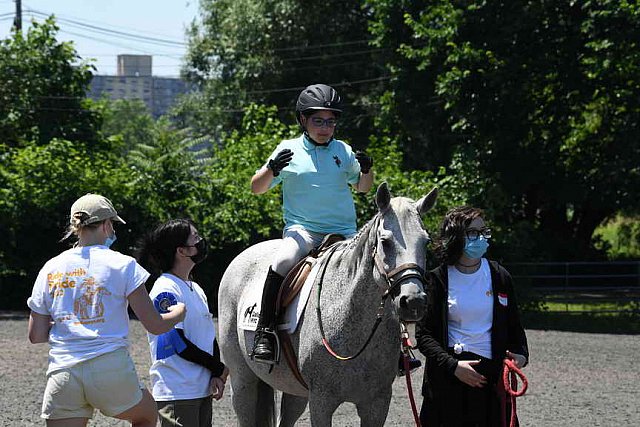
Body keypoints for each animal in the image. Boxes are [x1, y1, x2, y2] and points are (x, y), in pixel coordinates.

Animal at [218, 184, 438, 427]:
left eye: (426, 242)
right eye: (385, 241)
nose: (414, 301)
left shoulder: (377, 404)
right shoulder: (321, 401)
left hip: (295, 391)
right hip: (243, 382)